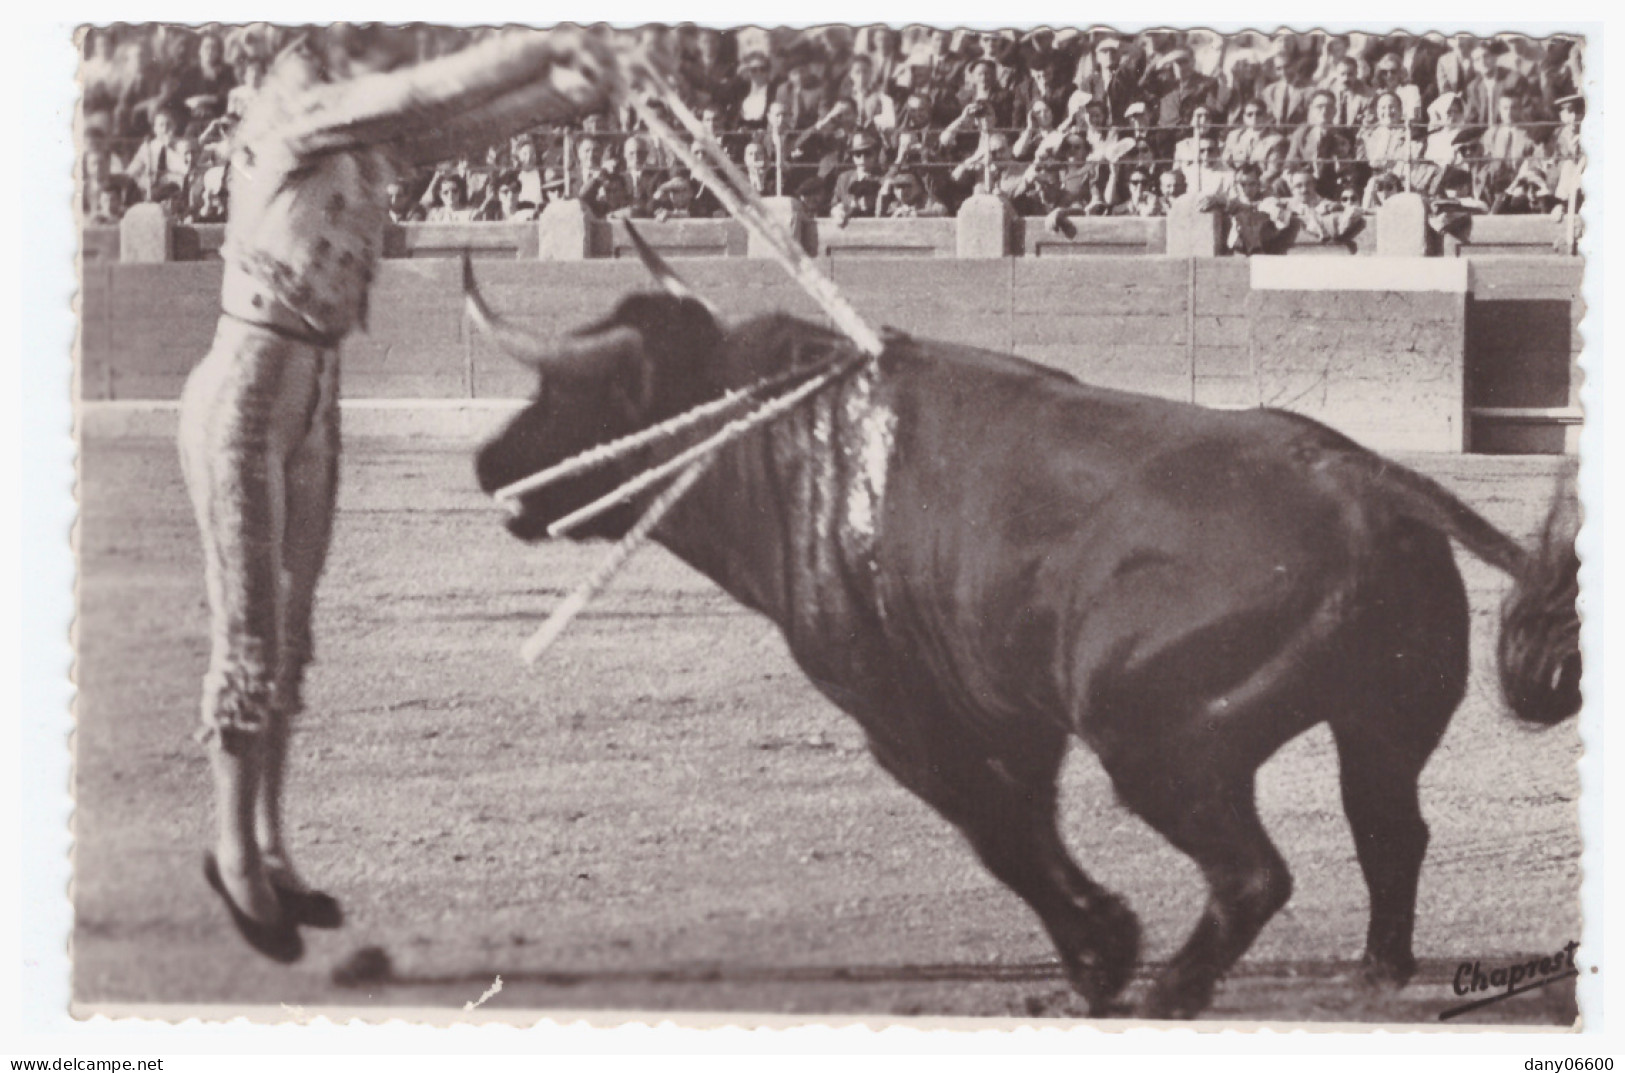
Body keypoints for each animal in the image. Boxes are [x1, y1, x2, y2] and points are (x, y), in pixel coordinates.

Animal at [464, 247, 1579, 1020]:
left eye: (575, 392)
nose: (488, 464)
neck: (778, 444)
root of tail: (1360, 478)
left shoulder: (901, 717)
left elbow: (997, 831)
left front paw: (1104, 956)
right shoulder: (1011, 713)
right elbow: (1027, 823)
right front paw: (1097, 947)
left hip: (1153, 739)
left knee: (1253, 871)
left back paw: (1169, 992)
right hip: (1380, 719)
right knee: (1388, 826)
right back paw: (1372, 971)